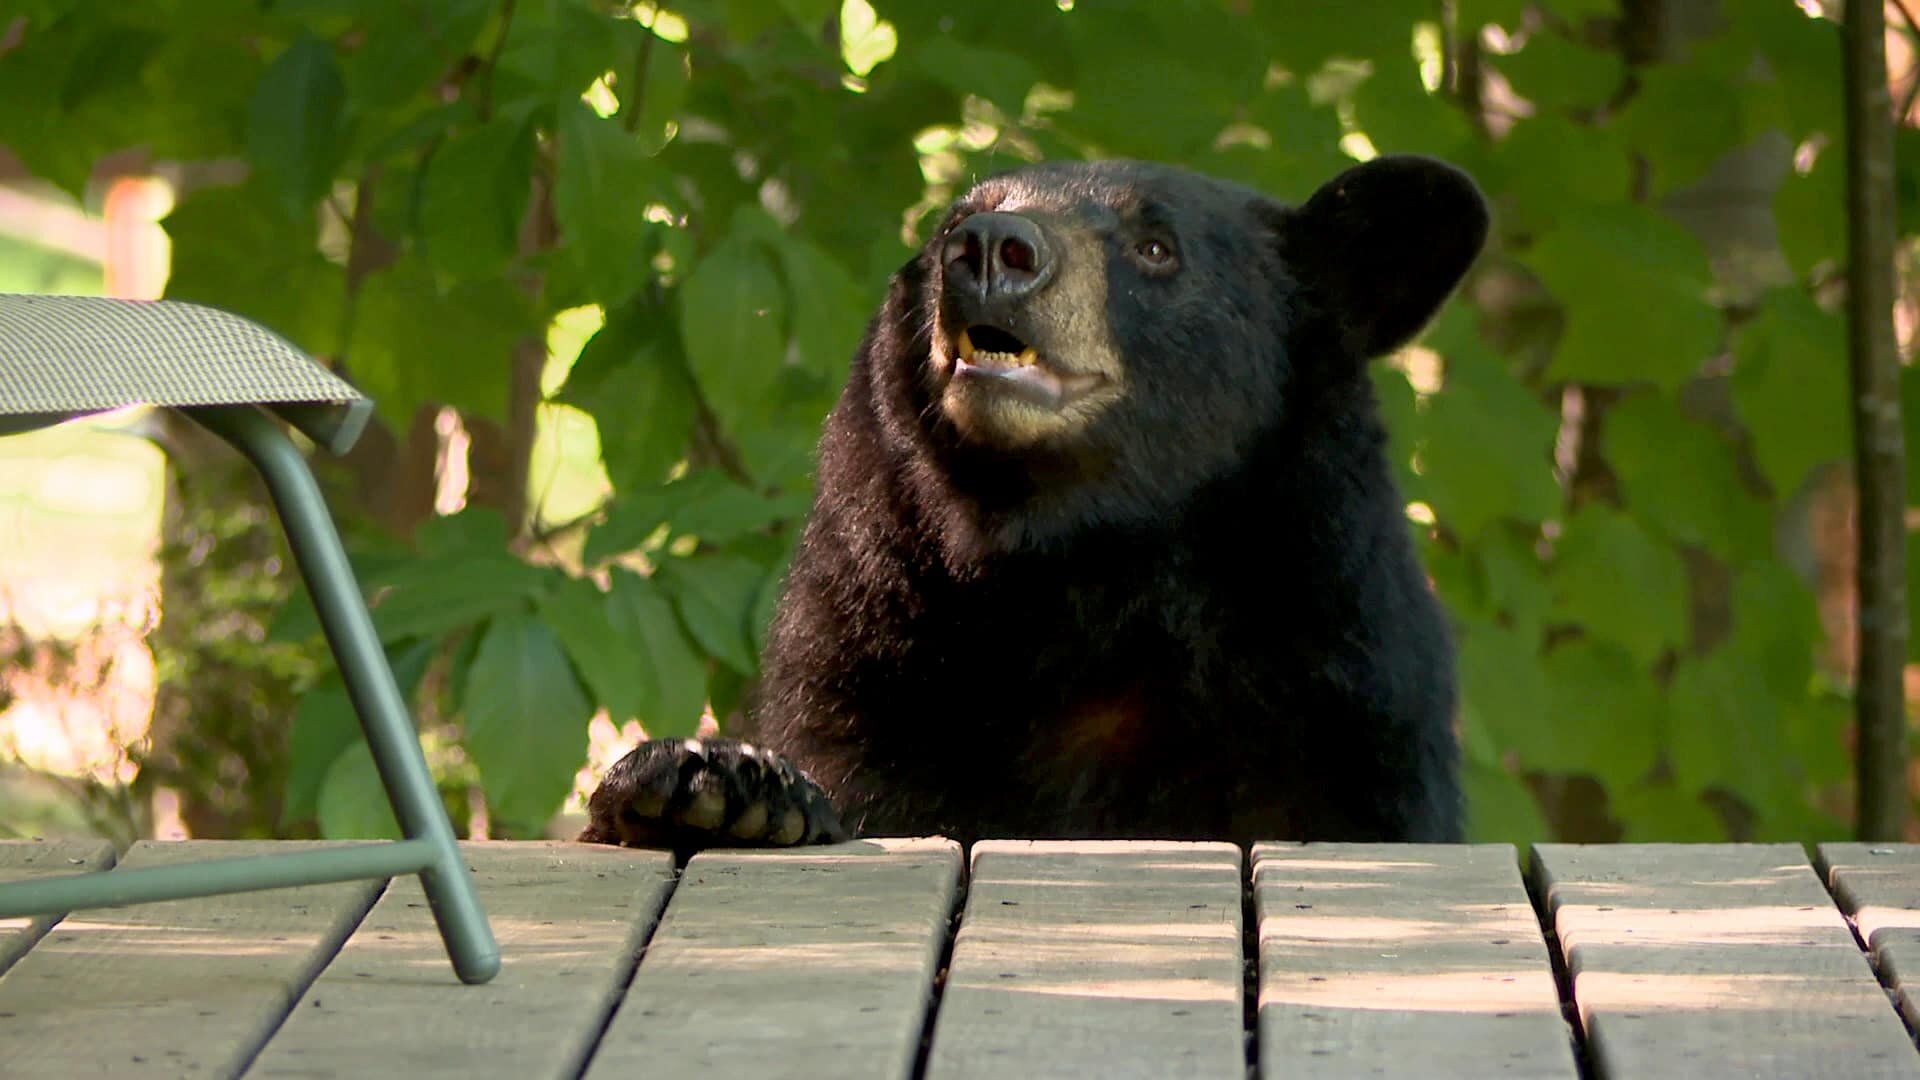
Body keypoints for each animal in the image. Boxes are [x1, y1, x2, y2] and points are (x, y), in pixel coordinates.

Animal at [580, 154, 1489, 854]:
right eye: (958, 219)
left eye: (1157, 245)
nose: (990, 247)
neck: (1081, 569)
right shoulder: (873, 668)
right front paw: (716, 783)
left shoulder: (1340, 705)